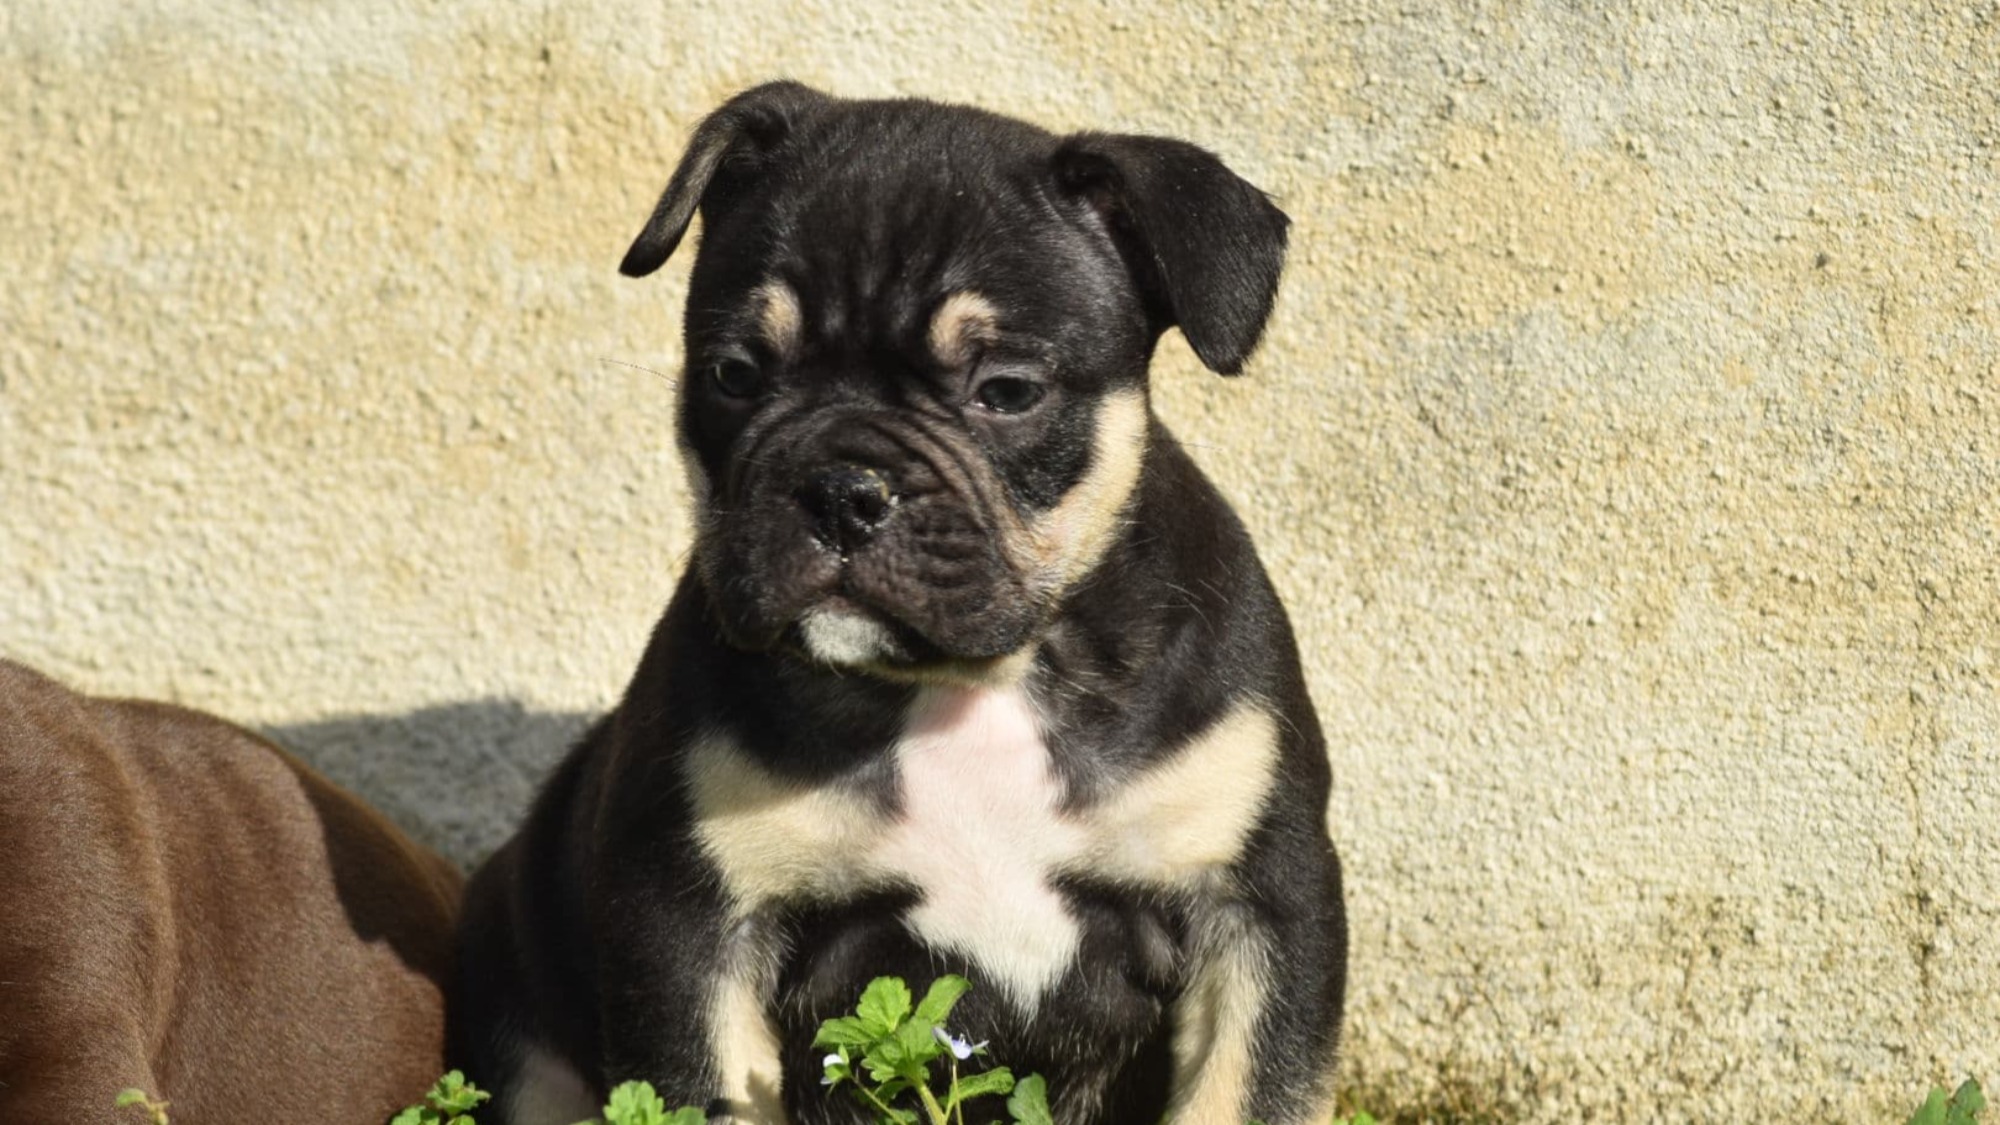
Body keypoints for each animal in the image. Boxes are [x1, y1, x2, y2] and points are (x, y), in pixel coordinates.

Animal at [454, 85, 1344, 1120]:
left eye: (1007, 391)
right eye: (733, 374)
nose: (842, 488)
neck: (973, 681)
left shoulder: (1261, 907)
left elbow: (1244, 1089)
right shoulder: (690, 923)